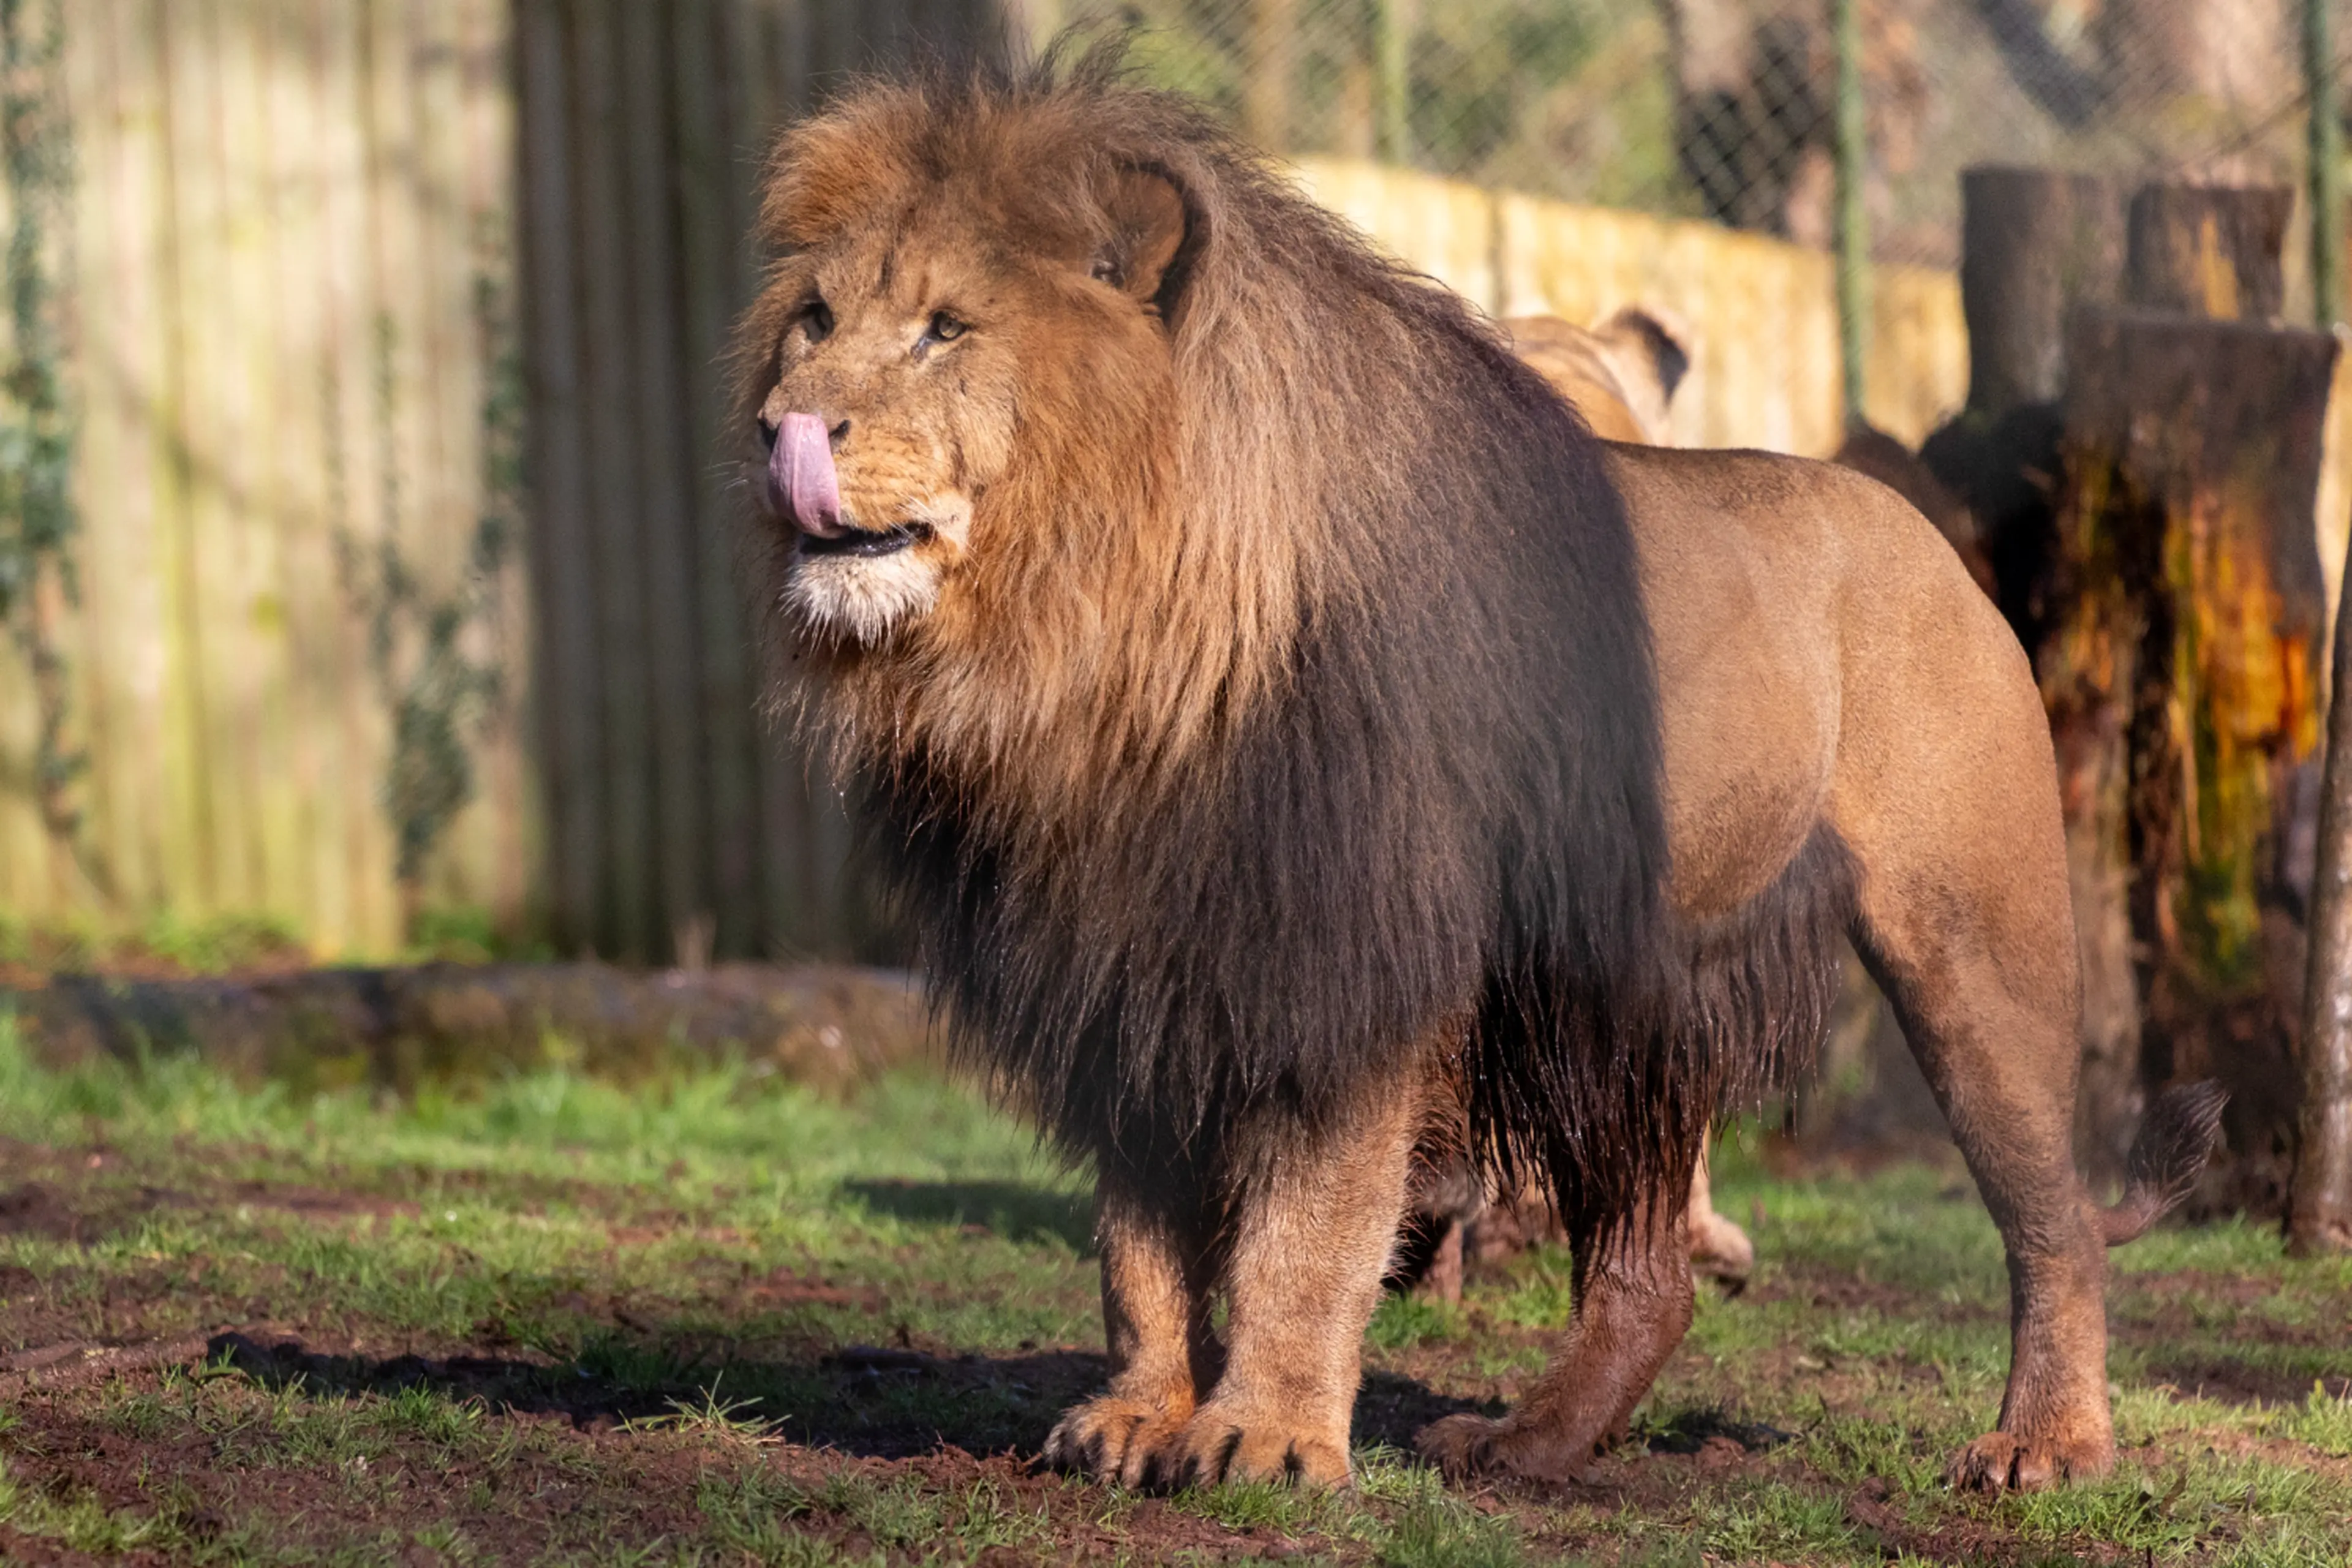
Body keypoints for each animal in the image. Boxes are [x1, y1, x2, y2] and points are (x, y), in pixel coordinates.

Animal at [736, 57, 2224, 1495]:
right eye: (814, 320)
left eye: (946, 328)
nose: (777, 429)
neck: (1084, 647)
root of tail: (1922, 531)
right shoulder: (1122, 957)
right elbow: (1137, 1244)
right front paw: (1136, 1414)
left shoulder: (1349, 949)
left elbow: (1310, 1222)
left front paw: (1263, 1440)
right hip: (1617, 994)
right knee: (1650, 1276)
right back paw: (1532, 1448)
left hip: (1976, 949)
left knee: (2052, 1223)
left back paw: (2046, 1447)